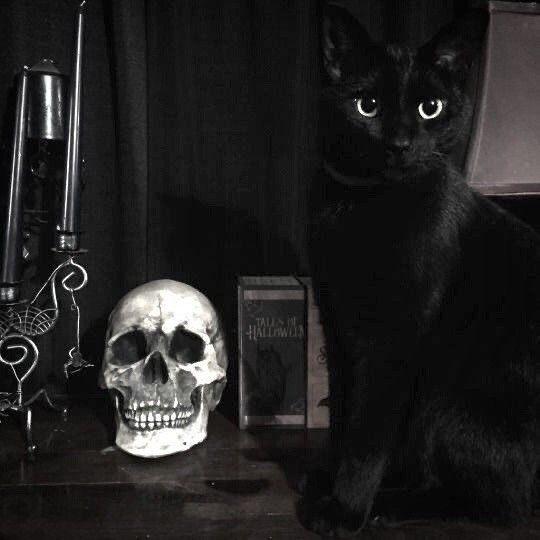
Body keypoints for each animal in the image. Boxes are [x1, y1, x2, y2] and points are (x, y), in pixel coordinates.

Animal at [304, 4, 540, 536]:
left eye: (429, 108)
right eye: (367, 105)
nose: (399, 143)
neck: (366, 207)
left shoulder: (395, 339)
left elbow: (369, 432)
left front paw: (346, 508)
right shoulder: (337, 322)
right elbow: (344, 414)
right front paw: (330, 481)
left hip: (454, 399)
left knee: (503, 501)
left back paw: (392, 504)